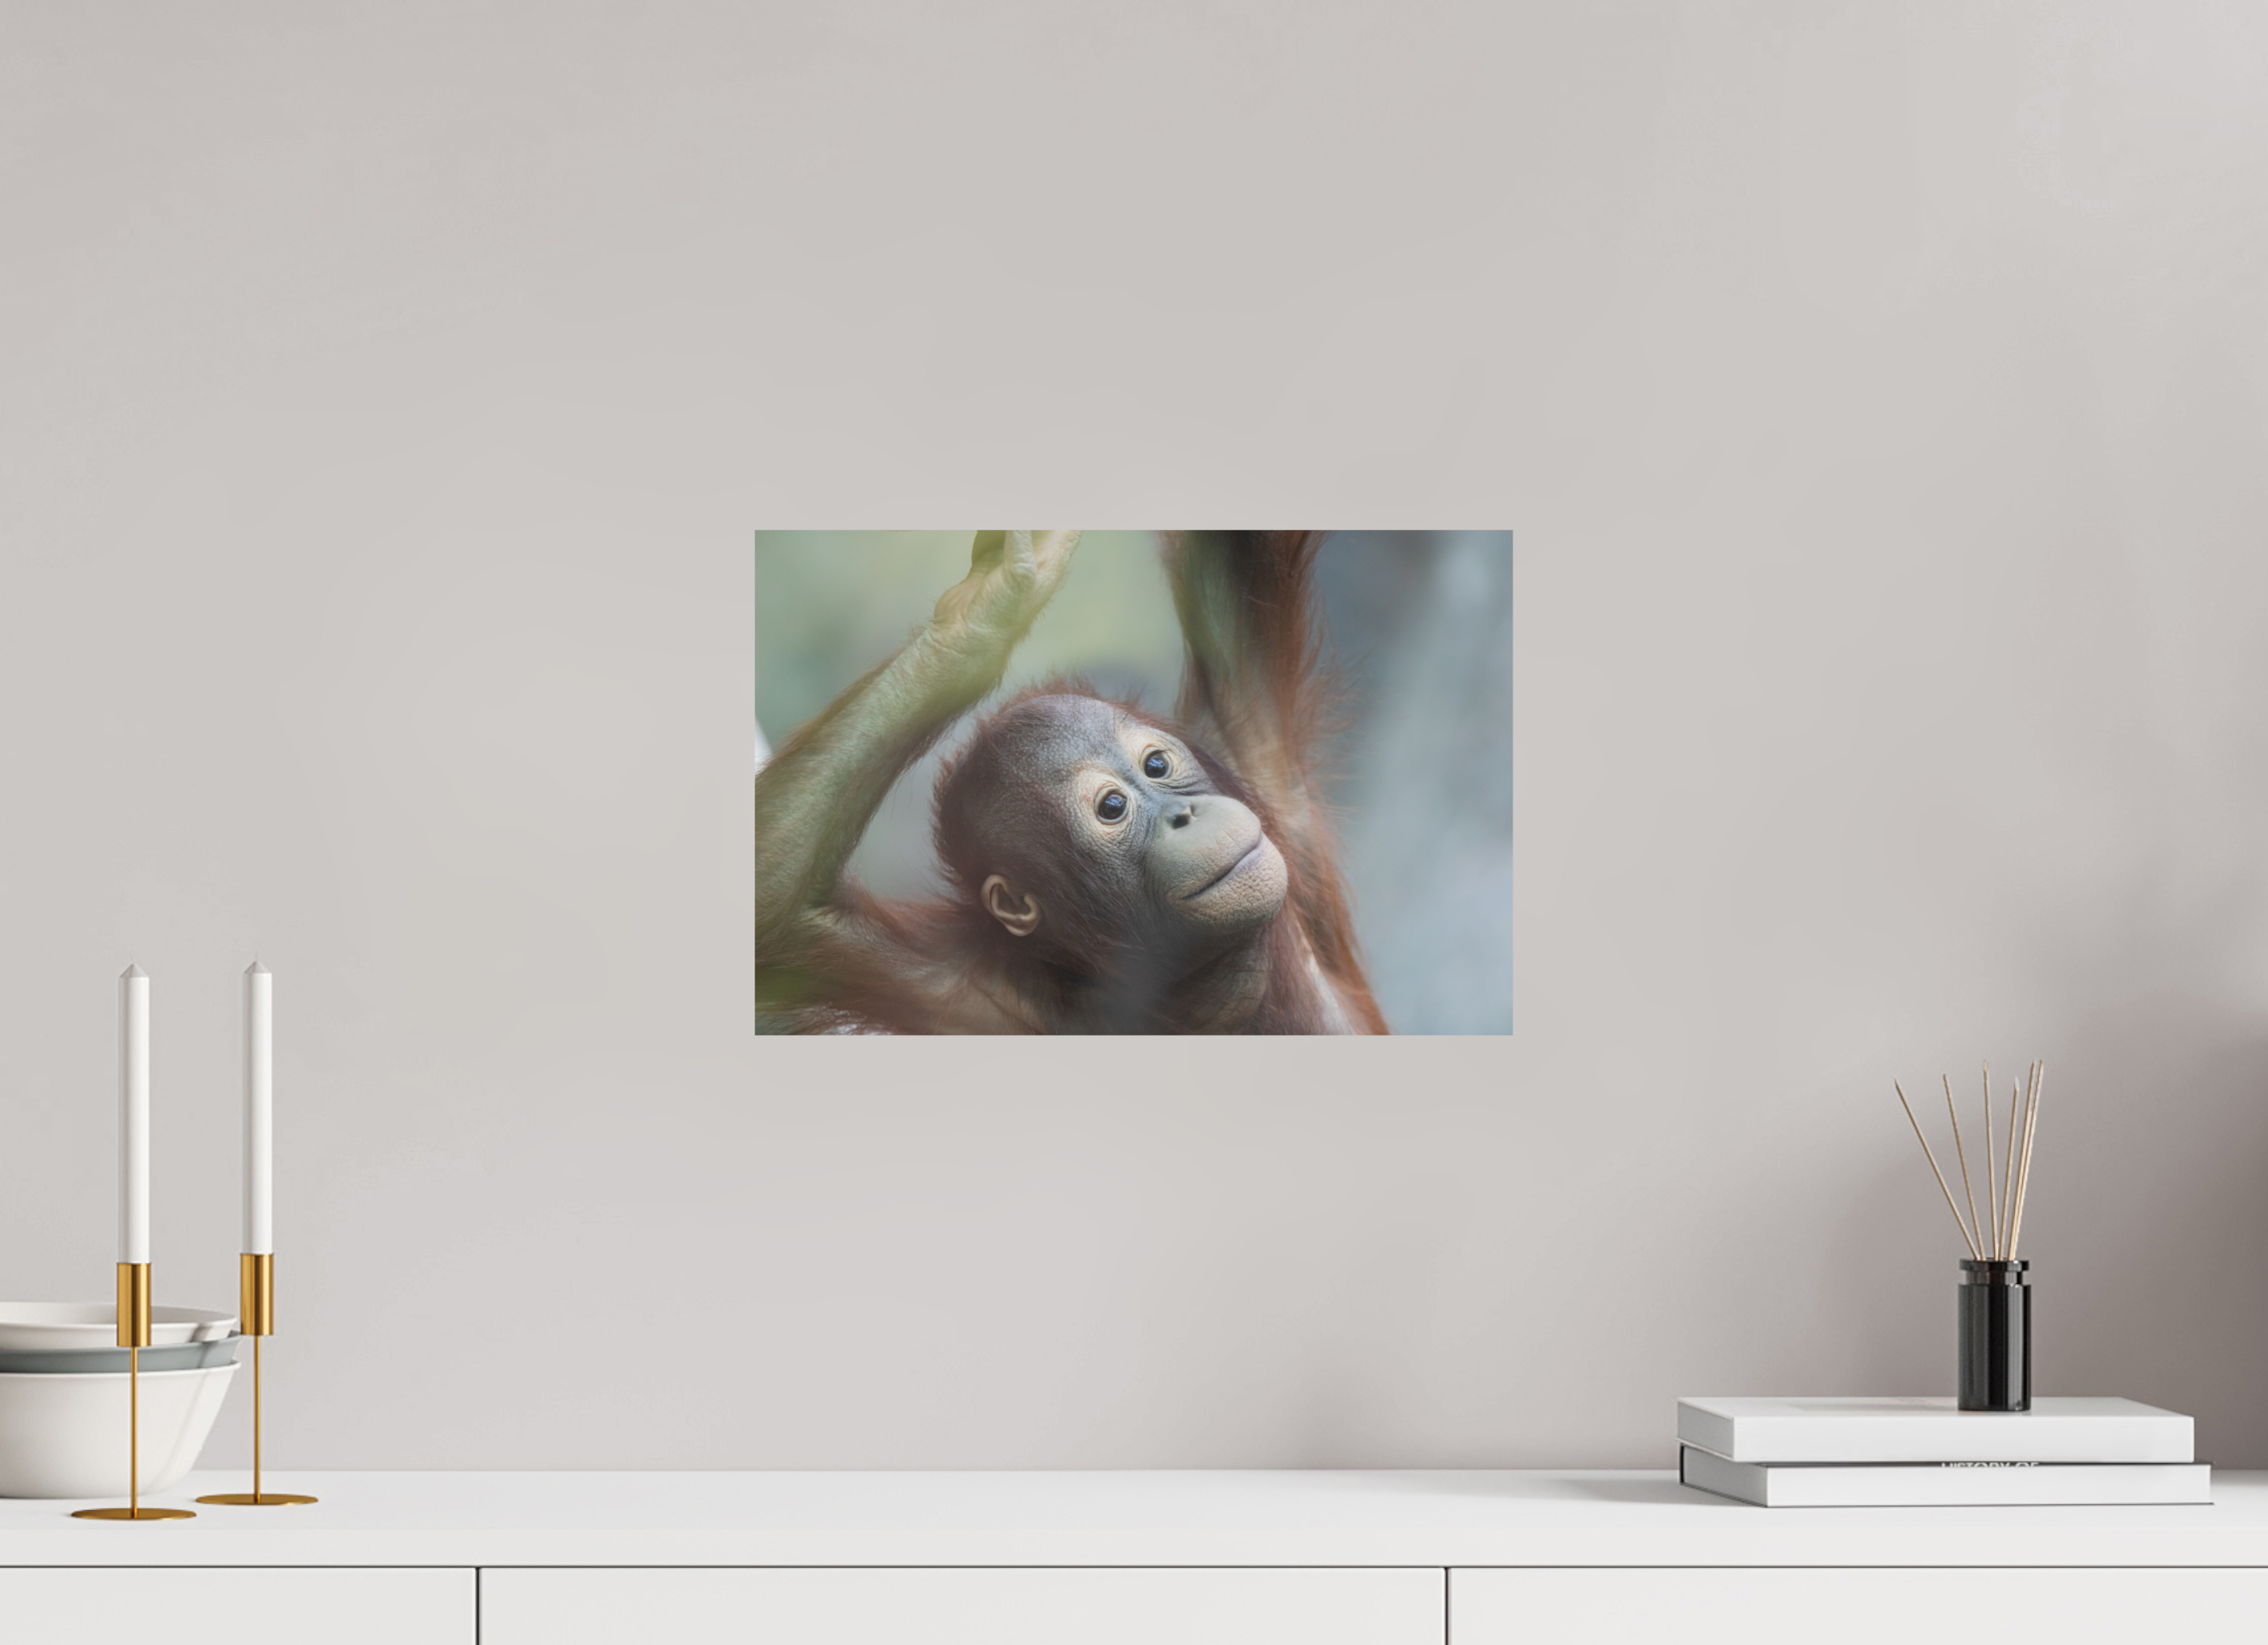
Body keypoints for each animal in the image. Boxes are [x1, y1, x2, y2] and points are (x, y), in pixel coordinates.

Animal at [752, 531, 1387, 1034]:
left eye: (1158, 767)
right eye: (1112, 807)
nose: (1185, 815)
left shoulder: (1240, 744)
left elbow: (1233, 561)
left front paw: (993, 598)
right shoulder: (959, 987)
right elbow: (782, 917)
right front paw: (982, 618)